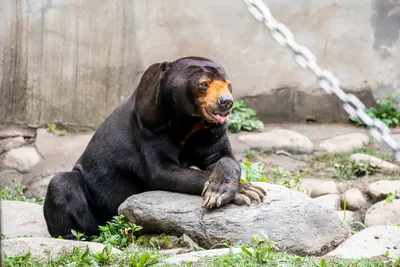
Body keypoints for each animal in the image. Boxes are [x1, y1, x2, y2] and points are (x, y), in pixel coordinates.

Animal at [43, 56, 268, 239]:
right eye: (204, 84)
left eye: (228, 85)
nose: (226, 102)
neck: (188, 121)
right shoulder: (149, 125)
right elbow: (161, 171)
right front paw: (244, 191)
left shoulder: (211, 130)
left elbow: (221, 157)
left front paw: (242, 189)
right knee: (61, 184)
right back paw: (78, 236)